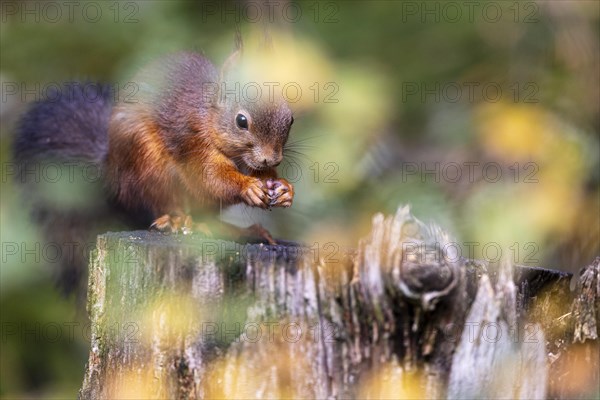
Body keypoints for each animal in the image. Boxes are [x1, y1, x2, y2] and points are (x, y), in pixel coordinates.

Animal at [12, 37, 294, 294]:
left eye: (290, 119)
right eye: (241, 121)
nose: (271, 158)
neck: (210, 117)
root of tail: (111, 171)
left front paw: (283, 188)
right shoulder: (193, 142)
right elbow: (210, 177)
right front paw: (249, 187)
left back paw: (241, 231)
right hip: (148, 165)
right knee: (164, 202)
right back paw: (177, 221)